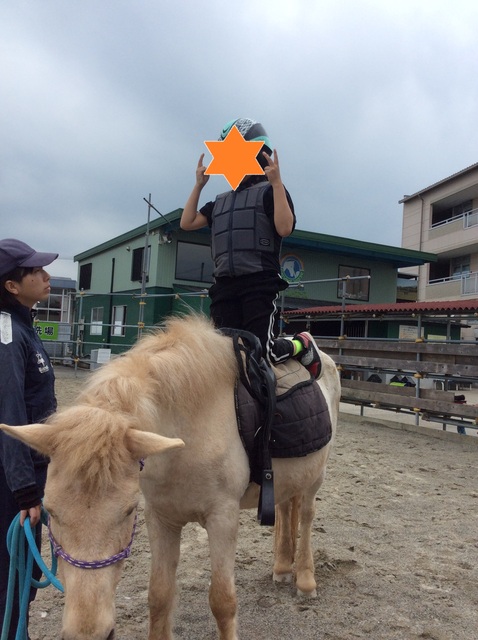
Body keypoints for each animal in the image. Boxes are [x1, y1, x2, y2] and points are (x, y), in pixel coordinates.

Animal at [0, 315, 340, 640]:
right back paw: (282, 567)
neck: (188, 435)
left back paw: (305, 580)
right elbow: (159, 596)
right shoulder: (161, 518)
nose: (88, 634)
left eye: (128, 512)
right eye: (51, 512)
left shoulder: (222, 519)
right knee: (285, 507)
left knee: (306, 516)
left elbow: (222, 601)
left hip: (316, 478)